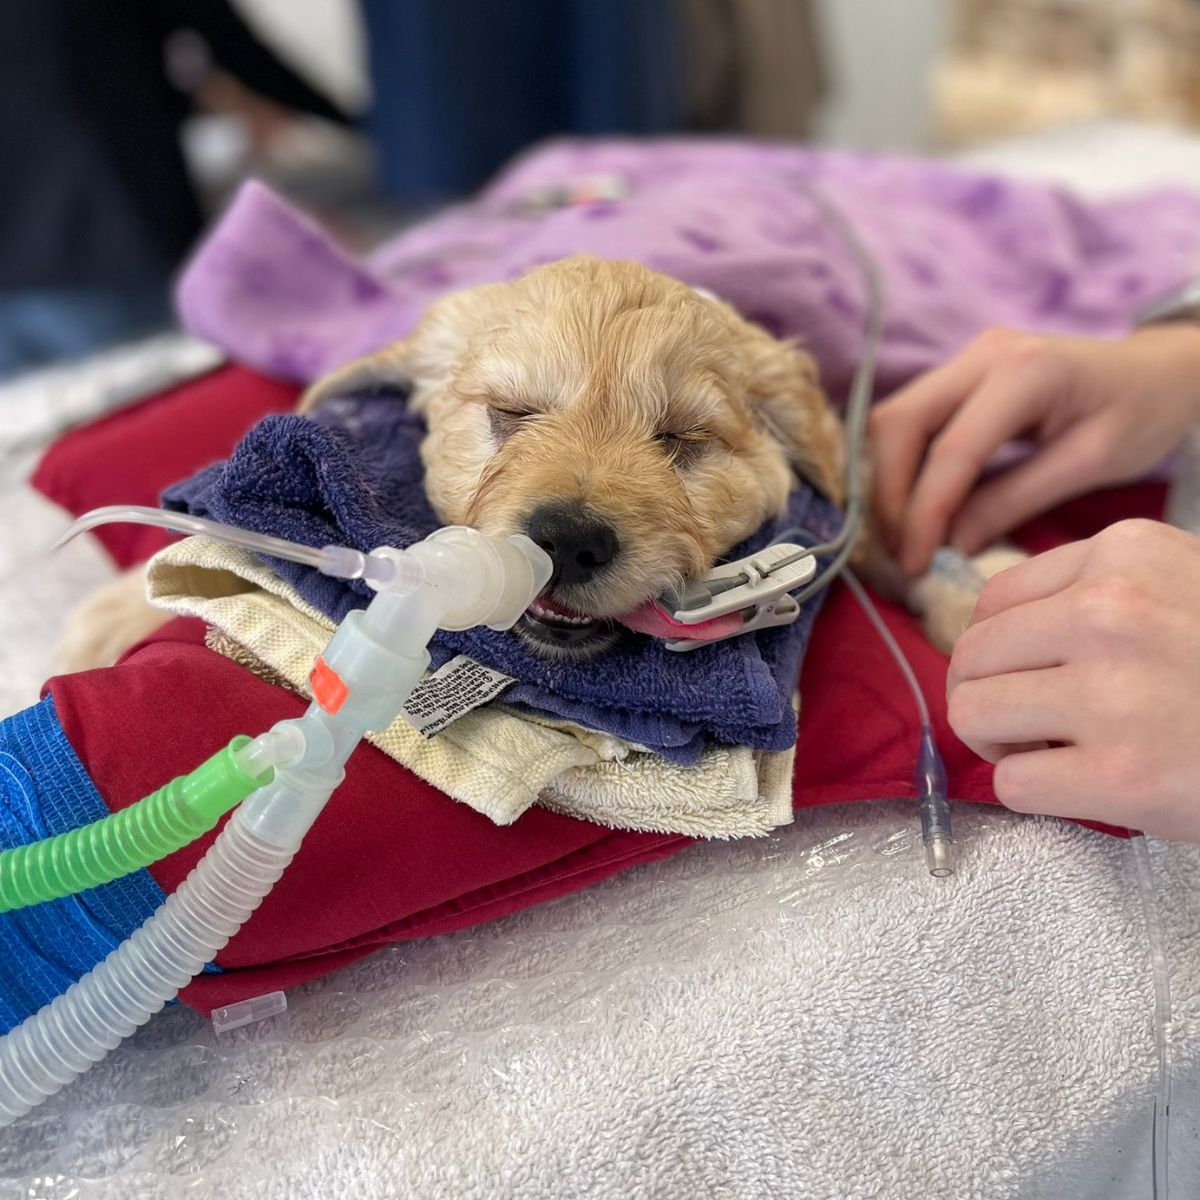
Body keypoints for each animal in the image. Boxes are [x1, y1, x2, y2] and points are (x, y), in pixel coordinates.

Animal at [56, 256, 1012, 672]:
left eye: (681, 439)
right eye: (512, 415)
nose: (570, 541)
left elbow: (880, 519)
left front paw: (980, 590)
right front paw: (113, 612)